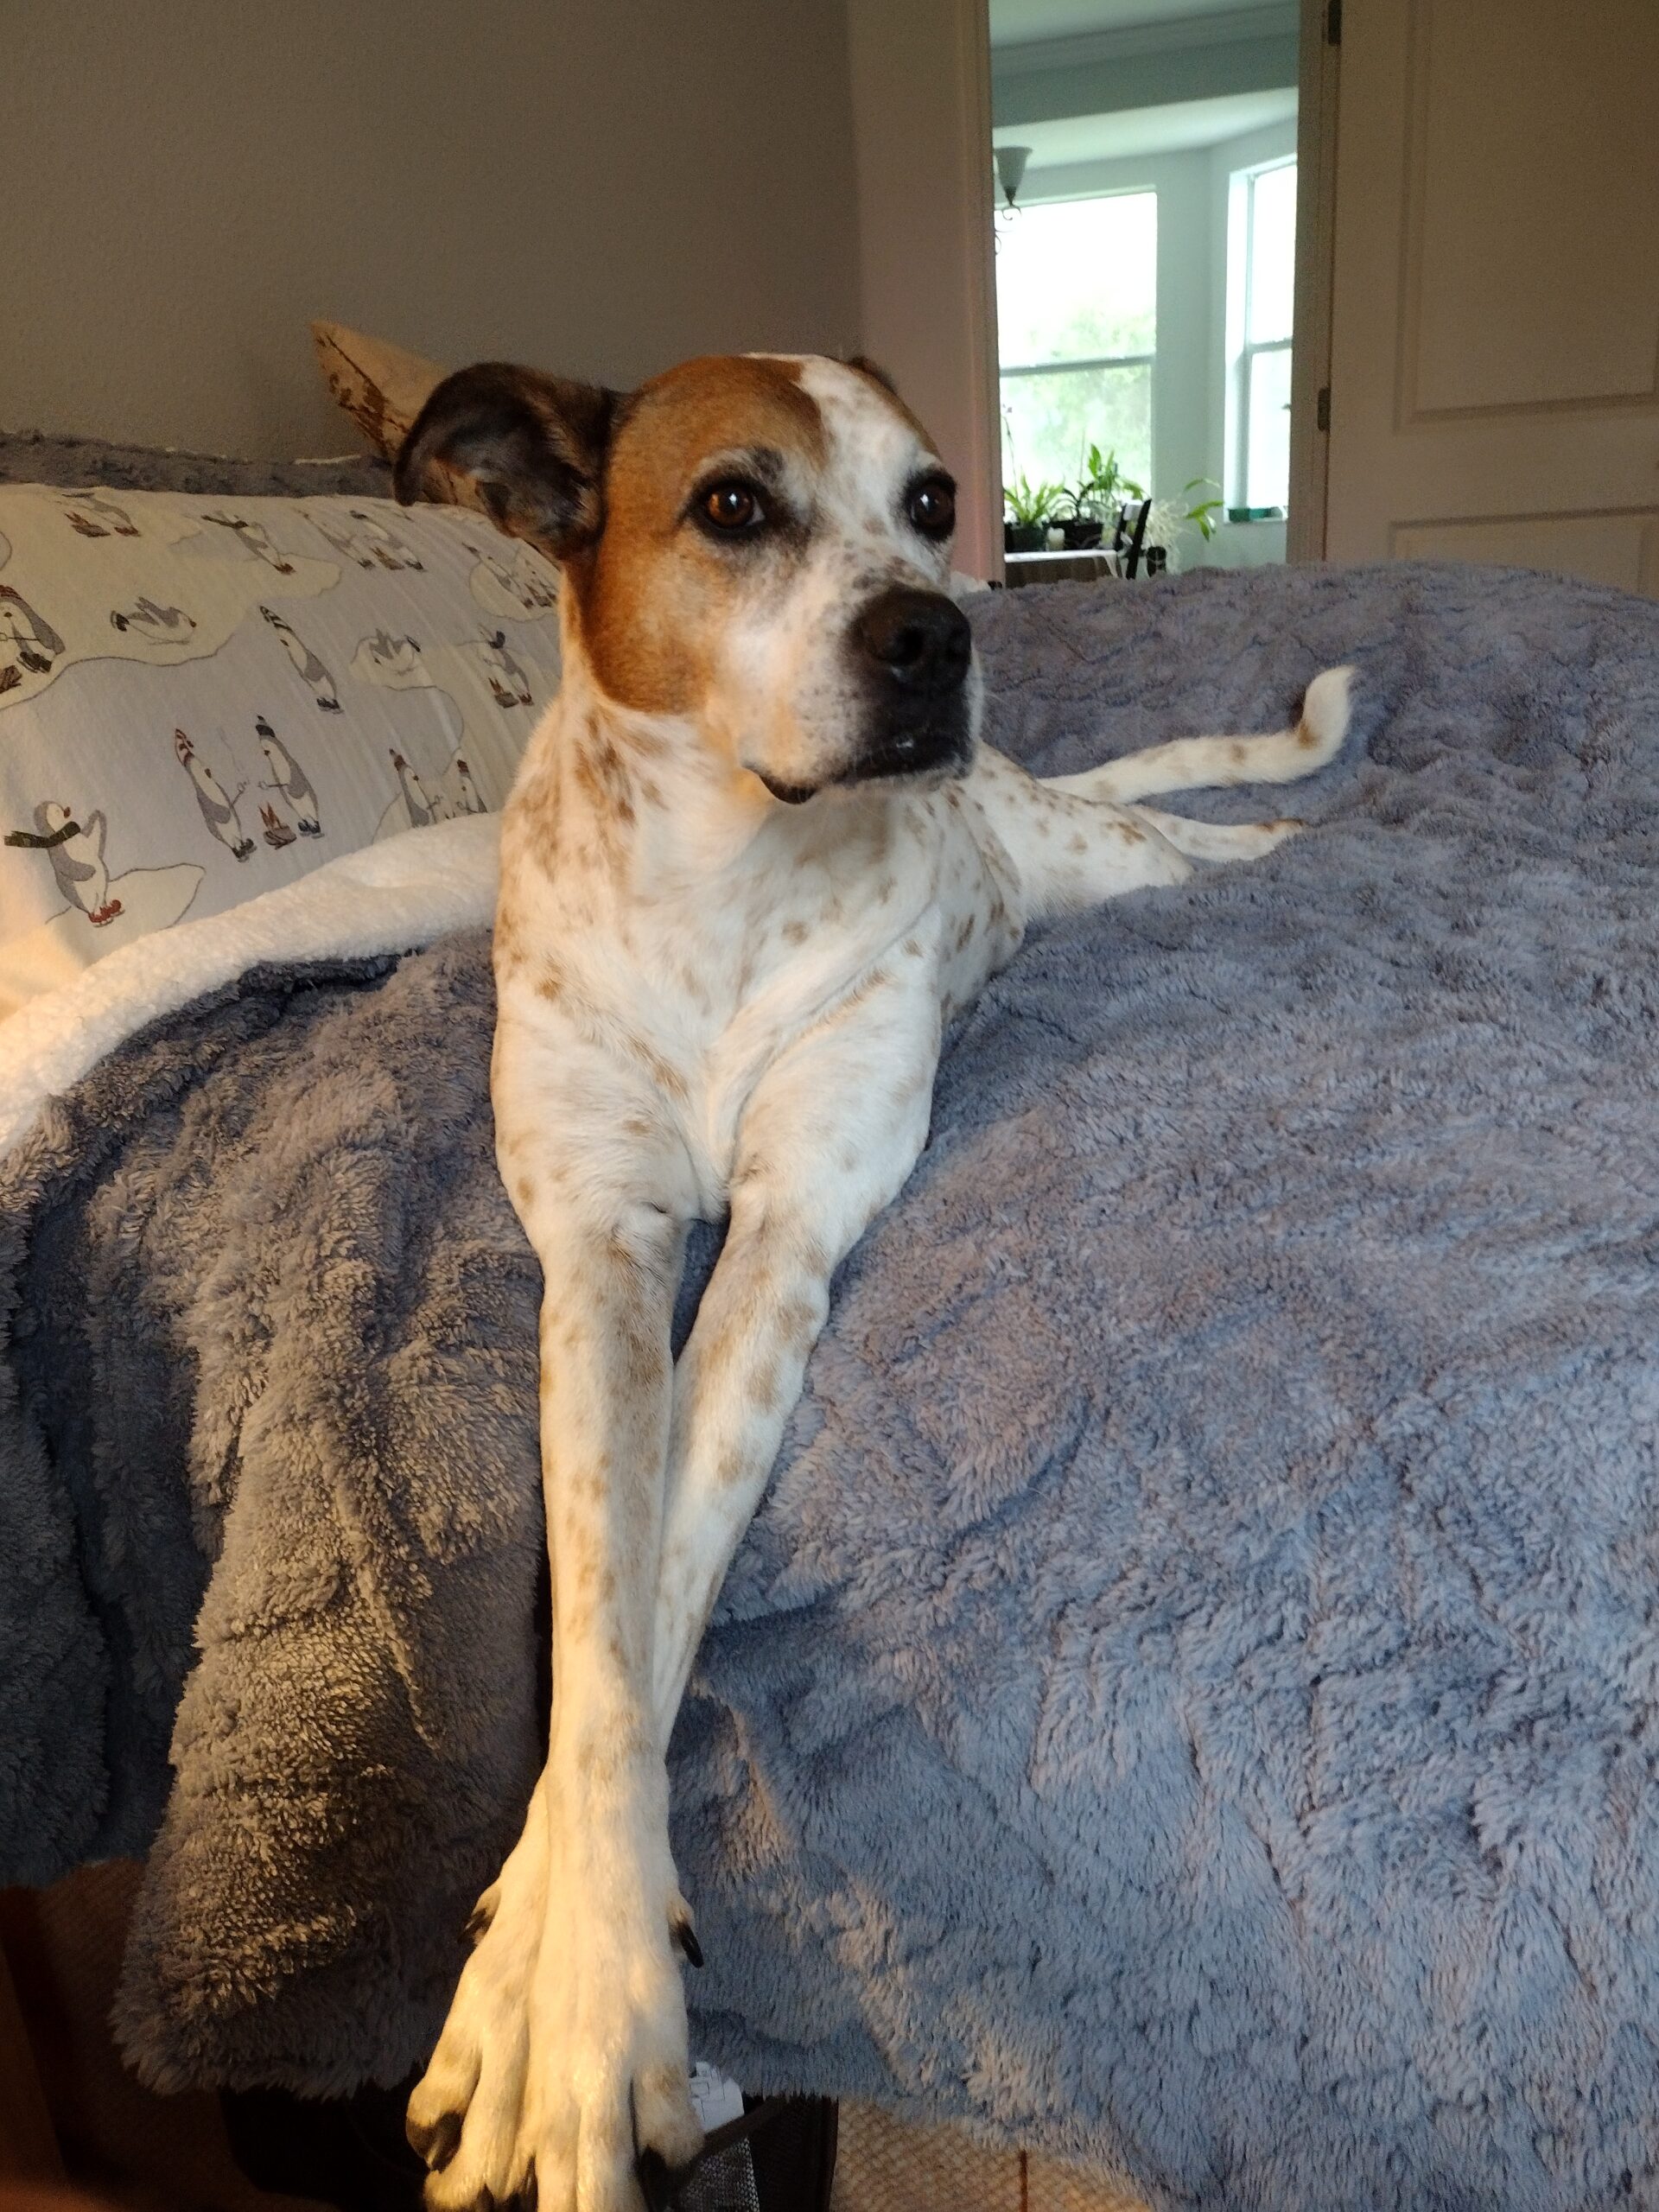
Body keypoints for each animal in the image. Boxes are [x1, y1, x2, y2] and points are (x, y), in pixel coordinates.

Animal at [392, 351, 1352, 2212]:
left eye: (931, 499)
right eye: (732, 504)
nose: (938, 634)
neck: (719, 875)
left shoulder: (788, 1234)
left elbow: (664, 1590)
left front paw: (581, 2013)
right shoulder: (597, 1254)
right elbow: (600, 1639)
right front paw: (538, 1989)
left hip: (1105, 855)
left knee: (1192, 835)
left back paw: (1300, 836)